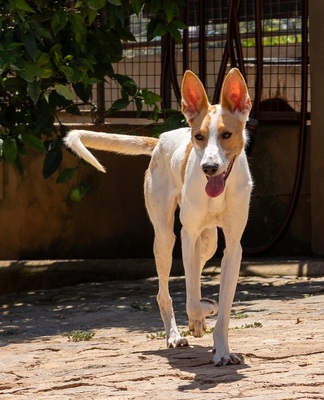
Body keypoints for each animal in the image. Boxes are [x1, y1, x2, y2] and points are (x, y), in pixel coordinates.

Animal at [64, 68, 253, 366]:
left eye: (227, 134)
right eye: (199, 137)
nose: (209, 168)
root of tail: (161, 140)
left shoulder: (234, 246)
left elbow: (223, 307)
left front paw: (222, 349)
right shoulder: (188, 235)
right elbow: (190, 296)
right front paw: (200, 316)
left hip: (208, 241)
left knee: (196, 271)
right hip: (166, 239)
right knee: (165, 292)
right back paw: (176, 334)